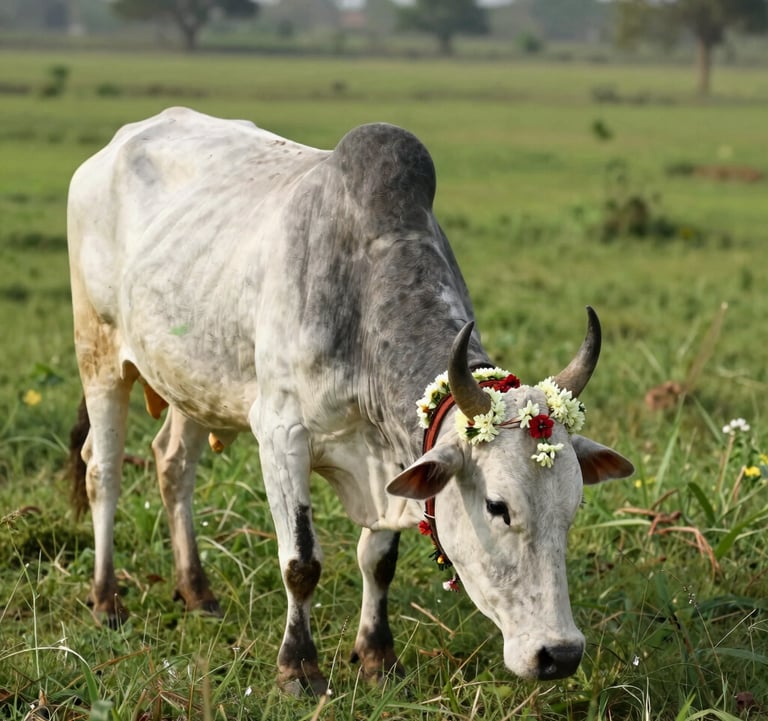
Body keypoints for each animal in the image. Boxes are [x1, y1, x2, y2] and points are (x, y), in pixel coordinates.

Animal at [67, 107, 633, 696]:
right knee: (102, 471)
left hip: (193, 382)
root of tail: (117, 143)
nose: (560, 654)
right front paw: (299, 667)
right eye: (497, 507)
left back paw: (197, 591)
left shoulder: (386, 464)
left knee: (172, 464)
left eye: (574, 506)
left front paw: (377, 655)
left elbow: (378, 560)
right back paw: (106, 600)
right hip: (99, 354)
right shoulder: (281, 436)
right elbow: (301, 562)